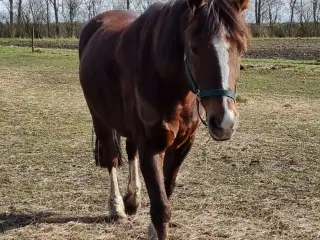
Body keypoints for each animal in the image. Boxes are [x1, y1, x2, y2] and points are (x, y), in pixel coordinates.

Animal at [77, 0, 250, 238]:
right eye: (193, 48)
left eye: (241, 48)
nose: (225, 121)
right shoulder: (151, 147)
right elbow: (161, 208)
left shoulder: (182, 146)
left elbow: (166, 193)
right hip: (99, 118)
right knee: (111, 158)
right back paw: (116, 207)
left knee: (131, 151)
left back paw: (132, 200)